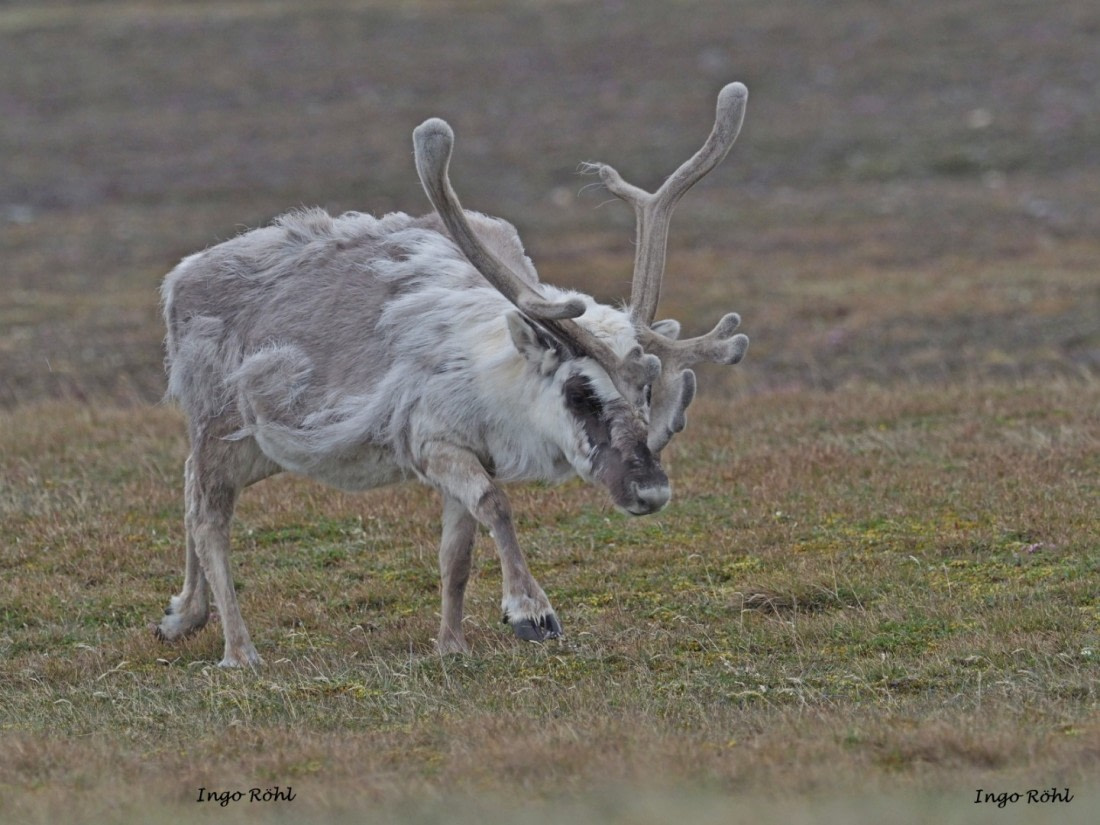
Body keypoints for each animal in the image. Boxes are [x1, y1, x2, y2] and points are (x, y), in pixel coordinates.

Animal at [155, 82, 750, 667]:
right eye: (580, 391)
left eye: (648, 389)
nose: (650, 490)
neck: (493, 386)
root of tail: (177, 279)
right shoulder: (433, 442)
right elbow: (497, 506)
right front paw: (531, 612)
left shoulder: (470, 453)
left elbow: (456, 554)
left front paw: (450, 644)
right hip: (220, 425)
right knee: (209, 518)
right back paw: (239, 650)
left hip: (259, 446)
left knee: (186, 483)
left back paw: (182, 615)